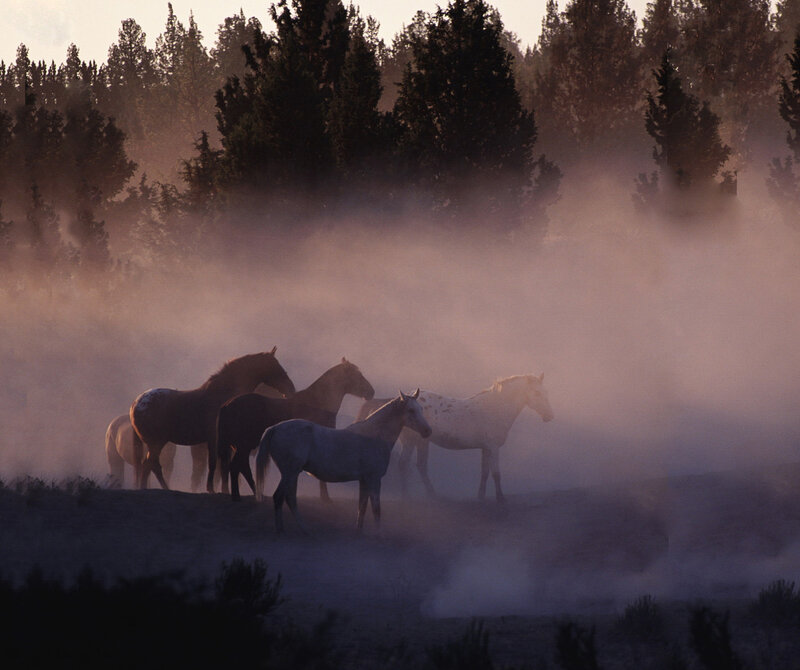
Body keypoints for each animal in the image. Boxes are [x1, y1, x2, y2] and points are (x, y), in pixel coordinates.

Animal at [130, 348, 296, 490]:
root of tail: (136, 404)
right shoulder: (216, 439)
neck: (224, 398)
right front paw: (214, 490)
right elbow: (216, 465)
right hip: (156, 443)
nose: (290, 389)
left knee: (151, 465)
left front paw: (223, 490)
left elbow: (223, 467)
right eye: (275, 367)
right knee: (150, 465)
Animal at [214, 358, 375, 500]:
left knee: (241, 466)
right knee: (237, 466)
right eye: (357, 375)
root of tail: (227, 405)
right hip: (244, 445)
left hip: (242, 446)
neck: (317, 403)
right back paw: (238, 496)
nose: (371, 392)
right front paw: (325, 498)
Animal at [255, 389, 431, 533]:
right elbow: (376, 508)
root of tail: (275, 428)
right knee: (280, 497)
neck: (374, 436)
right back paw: (284, 529)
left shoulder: (364, 480)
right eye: (411, 410)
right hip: (290, 473)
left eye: (421, 409)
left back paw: (303, 529)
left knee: (289, 498)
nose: (427, 431)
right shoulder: (374, 479)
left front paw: (359, 531)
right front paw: (379, 533)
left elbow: (362, 506)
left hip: (292, 474)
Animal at [356, 374, 553, 503]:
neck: (495, 408)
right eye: (536, 393)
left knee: (420, 466)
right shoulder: (493, 447)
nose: (549, 416)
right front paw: (501, 498)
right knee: (404, 464)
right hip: (412, 442)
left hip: (422, 441)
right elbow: (496, 473)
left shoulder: (485, 448)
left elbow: (485, 472)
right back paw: (408, 497)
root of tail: (397, 401)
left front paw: (481, 497)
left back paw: (432, 495)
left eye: (546, 392)